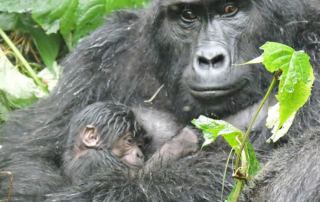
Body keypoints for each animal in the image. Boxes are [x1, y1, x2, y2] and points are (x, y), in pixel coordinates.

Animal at [0, 0, 320, 201]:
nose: (209, 59)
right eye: (188, 15)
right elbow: (27, 155)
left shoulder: (310, 53)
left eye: (230, 10)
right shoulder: (103, 51)